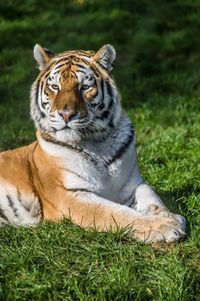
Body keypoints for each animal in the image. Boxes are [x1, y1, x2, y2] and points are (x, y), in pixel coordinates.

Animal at [0, 44, 186, 241]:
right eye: (55, 87)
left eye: (84, 87)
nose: (66, 114)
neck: (98, 143)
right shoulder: (68, 196)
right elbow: (117, 213)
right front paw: (165, 226)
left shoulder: (134, 183)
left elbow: (154, 199)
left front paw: (169, 216)